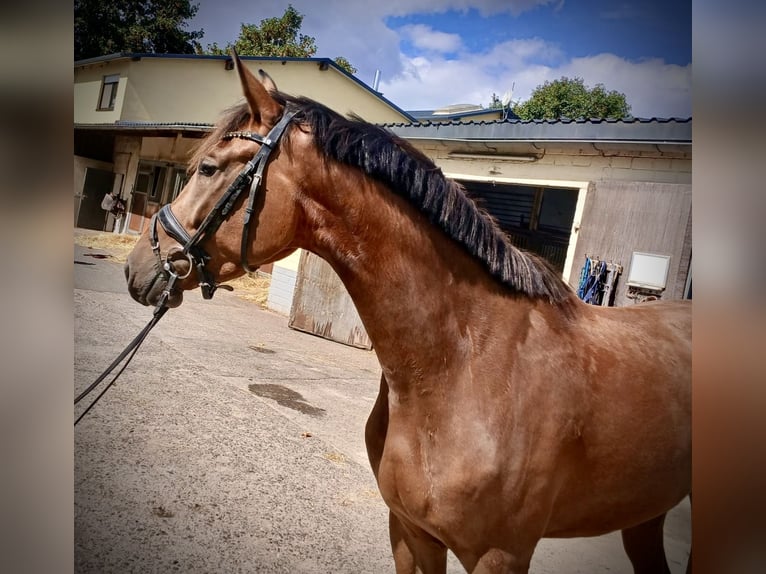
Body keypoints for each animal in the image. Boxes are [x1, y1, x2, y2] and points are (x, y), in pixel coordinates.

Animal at [125, 52, 691, 573]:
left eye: (208, 168)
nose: (137, 267)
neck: (463, 365)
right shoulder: (410, 532)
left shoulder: (501, 555)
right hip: (645, 512)